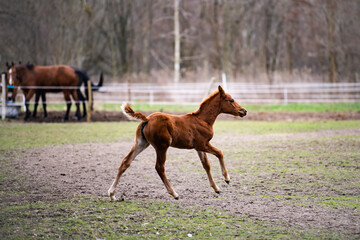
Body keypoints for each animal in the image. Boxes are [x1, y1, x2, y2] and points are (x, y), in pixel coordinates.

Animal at [107, 85, 248, 202]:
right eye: (231, 100)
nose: (244, 111)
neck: (202, 120)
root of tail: (147, 119)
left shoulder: (198, 148)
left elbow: (206, 165)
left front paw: (216, 188)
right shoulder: (202, 144)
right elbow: (220, 153)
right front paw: (227, 178)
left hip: (141, 143)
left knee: (126, 162)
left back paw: (112, 194)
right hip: (162, 146)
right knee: (159, 167)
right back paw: (174, 193)